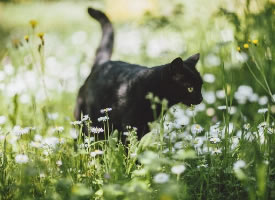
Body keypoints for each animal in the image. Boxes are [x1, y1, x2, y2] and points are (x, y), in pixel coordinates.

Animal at [74, 7, 204, 139]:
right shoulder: (130, 124)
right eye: (190, 88)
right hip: (90, 119)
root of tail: (102, 63)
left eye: (200, 86)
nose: (201, 98)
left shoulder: (145, 124)